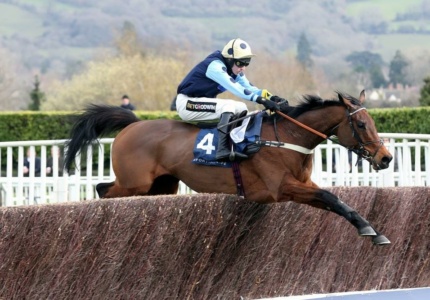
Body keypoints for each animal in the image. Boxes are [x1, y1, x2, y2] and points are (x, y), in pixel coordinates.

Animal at [64, 90, 394, 245]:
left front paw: (373, 230)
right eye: (361, 124)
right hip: (135, 183)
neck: (288, 136)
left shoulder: (303, 185)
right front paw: (369, 229)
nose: (385, 158)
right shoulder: (281, 188)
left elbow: (336, 202)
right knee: (102, 189)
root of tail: (133, 124)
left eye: (372, 122)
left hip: (163, 185)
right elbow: (330, 197)